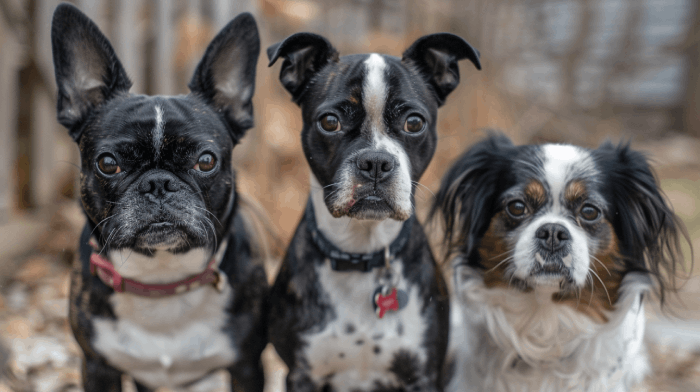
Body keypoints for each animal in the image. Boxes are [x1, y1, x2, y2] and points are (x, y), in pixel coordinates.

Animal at [52, 3, 268, 392]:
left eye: (205, 161)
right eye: (108, 163)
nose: (158, 184)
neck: (162, 281)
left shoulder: (246, 366)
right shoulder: (97, 366)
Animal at [268, 33, 482, 392]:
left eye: (414, 123)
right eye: (330, 122)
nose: (376, 162)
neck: (361, 253)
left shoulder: (421, 374)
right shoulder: (302, 373)